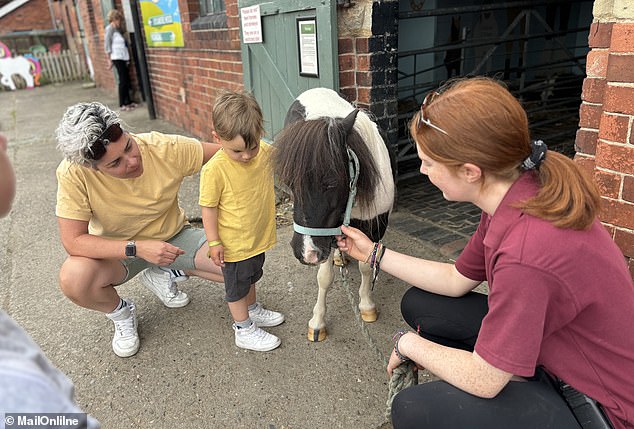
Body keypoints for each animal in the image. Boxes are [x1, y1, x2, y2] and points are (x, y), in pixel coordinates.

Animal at [274, 87, 392, 342]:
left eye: (331, 182)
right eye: (290, 183)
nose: (305, 253)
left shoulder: (375, 225)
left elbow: (367, 265)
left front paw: (366, 306)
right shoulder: (324, 236)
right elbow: (324, 277)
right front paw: (317, 322)